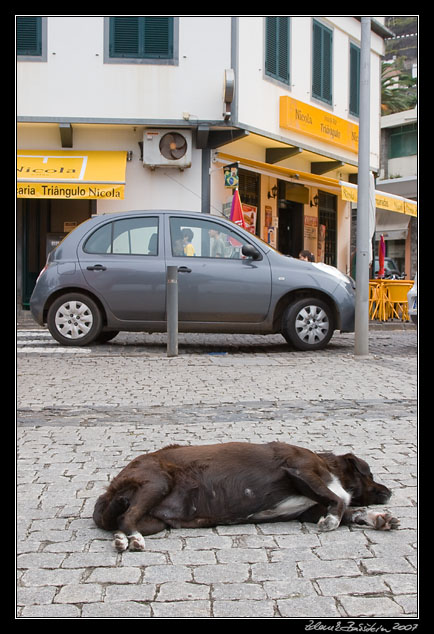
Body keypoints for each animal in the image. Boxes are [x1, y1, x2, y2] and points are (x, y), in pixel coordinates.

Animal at [93, 440, 398, 548]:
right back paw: (132, 539)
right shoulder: (300, 470)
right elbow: (338, 499)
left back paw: (124, 537)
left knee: (121, 520)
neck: (328, 466)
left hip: (155, 521)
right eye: (370, 475)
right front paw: (334, 519)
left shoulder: (310, 509)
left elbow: (348, 508)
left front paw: (377, 518)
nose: (390, 491)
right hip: (157, 482)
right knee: (126, 518)